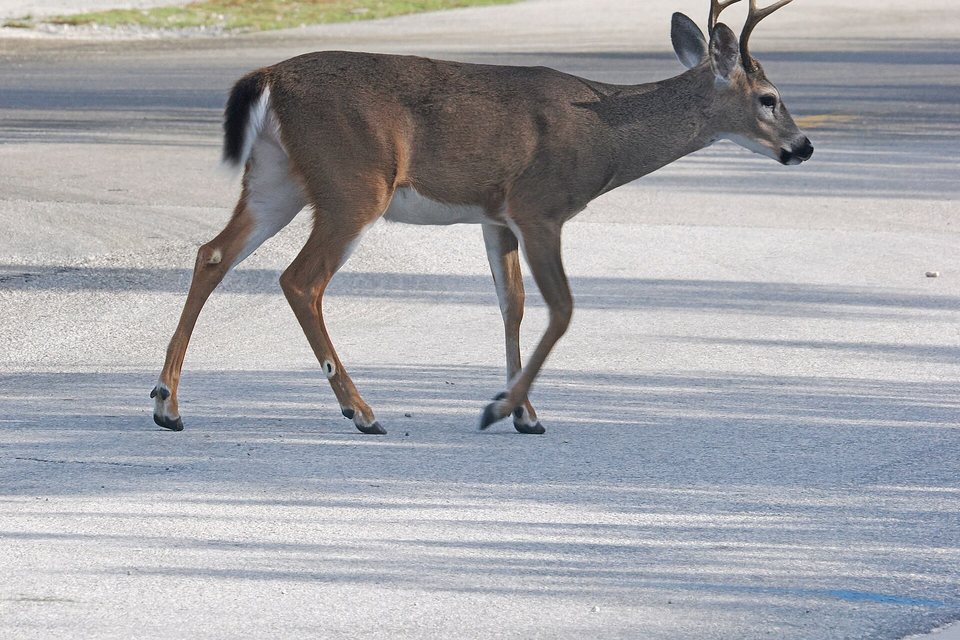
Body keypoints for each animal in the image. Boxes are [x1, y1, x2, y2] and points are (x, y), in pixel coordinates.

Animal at [151, 0, 813, 435]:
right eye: (770, 99)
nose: (803, 146)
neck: (602, 139)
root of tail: (268, 77)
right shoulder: (540, 205)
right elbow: (561, 308)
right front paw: (501, 408)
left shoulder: (496, 216)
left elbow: (511, 304)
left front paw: (525, 413)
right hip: (354, 182)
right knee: (300, 280)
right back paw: (360, 411)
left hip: (277, 177)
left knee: (212, 252)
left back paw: (167, 403)